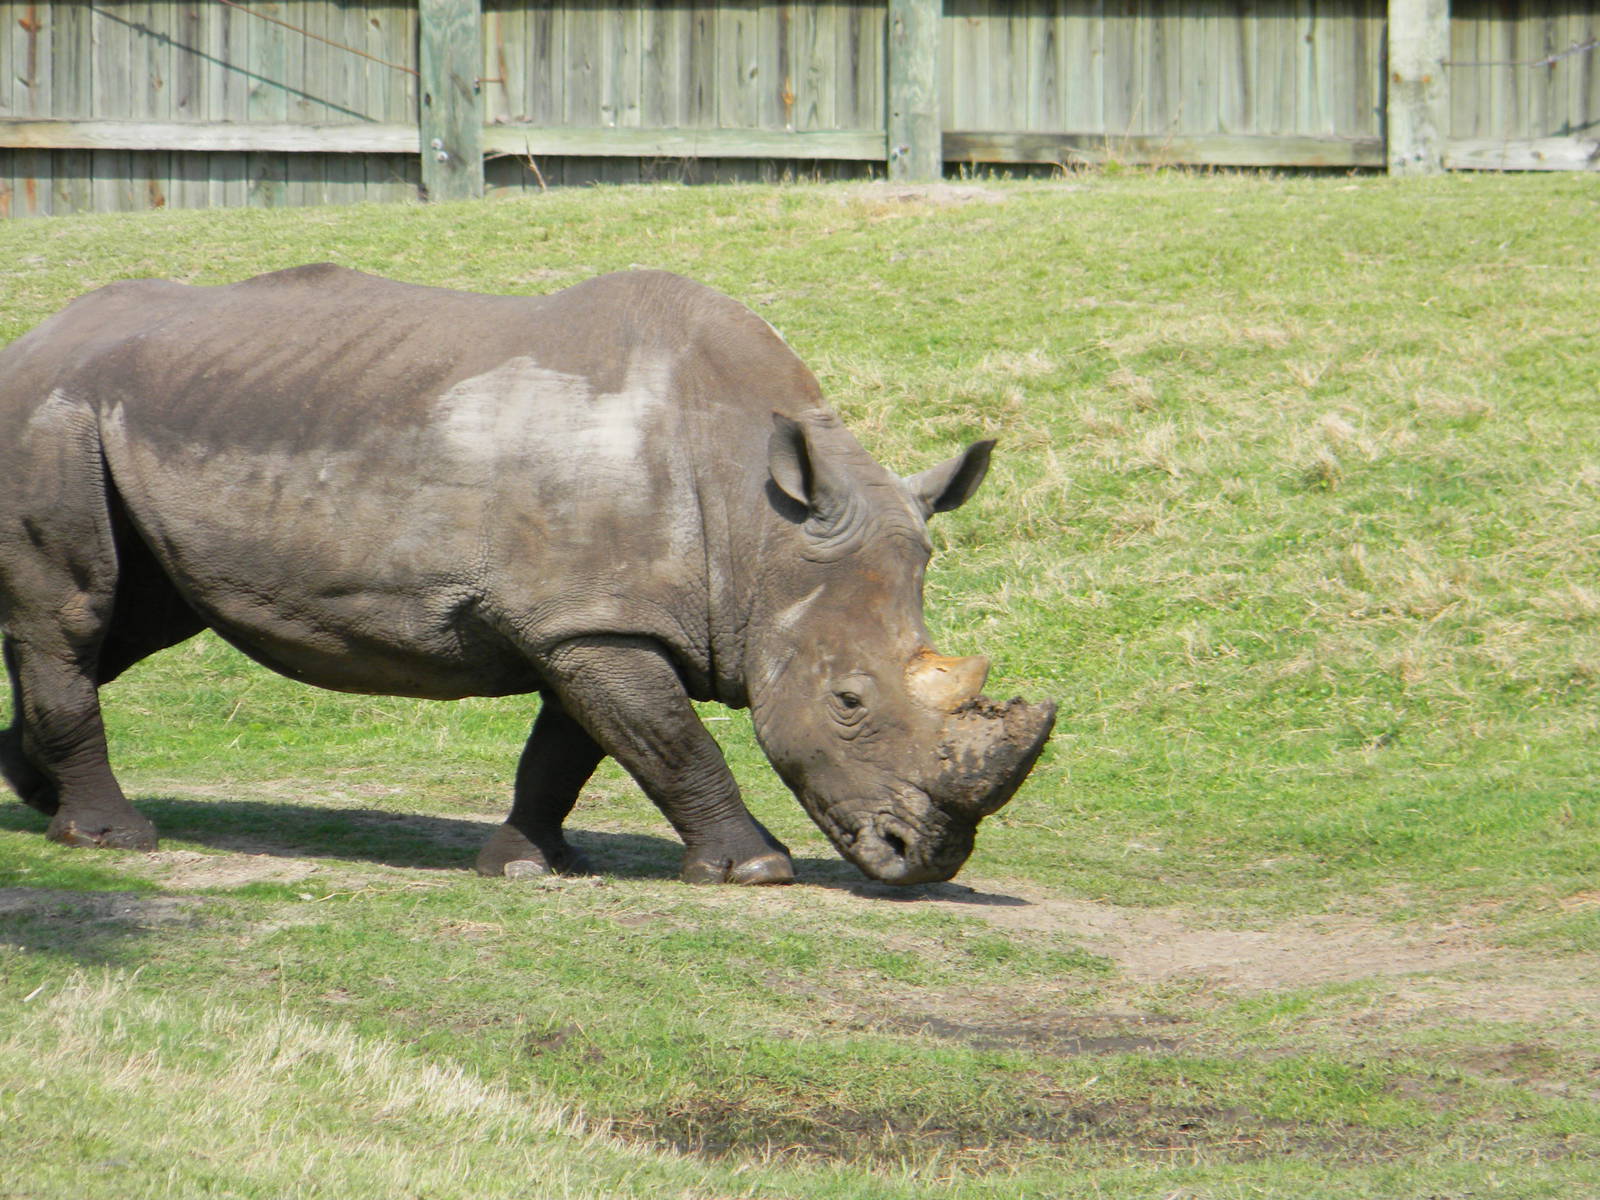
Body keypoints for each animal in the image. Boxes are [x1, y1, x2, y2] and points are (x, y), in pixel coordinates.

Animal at [0, 266, 1055, 886]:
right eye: (848, 702)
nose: (924, 860)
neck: (762, 527)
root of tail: (31, 340)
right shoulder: (592, 622)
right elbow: (669, 743)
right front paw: (756, 872)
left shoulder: (588, 619)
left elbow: (572, 750)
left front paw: (526, 865)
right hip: (53, 412)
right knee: (79, 612)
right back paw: (116, 840)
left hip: (136, 413)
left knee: (132, 616)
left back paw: (39, 799)